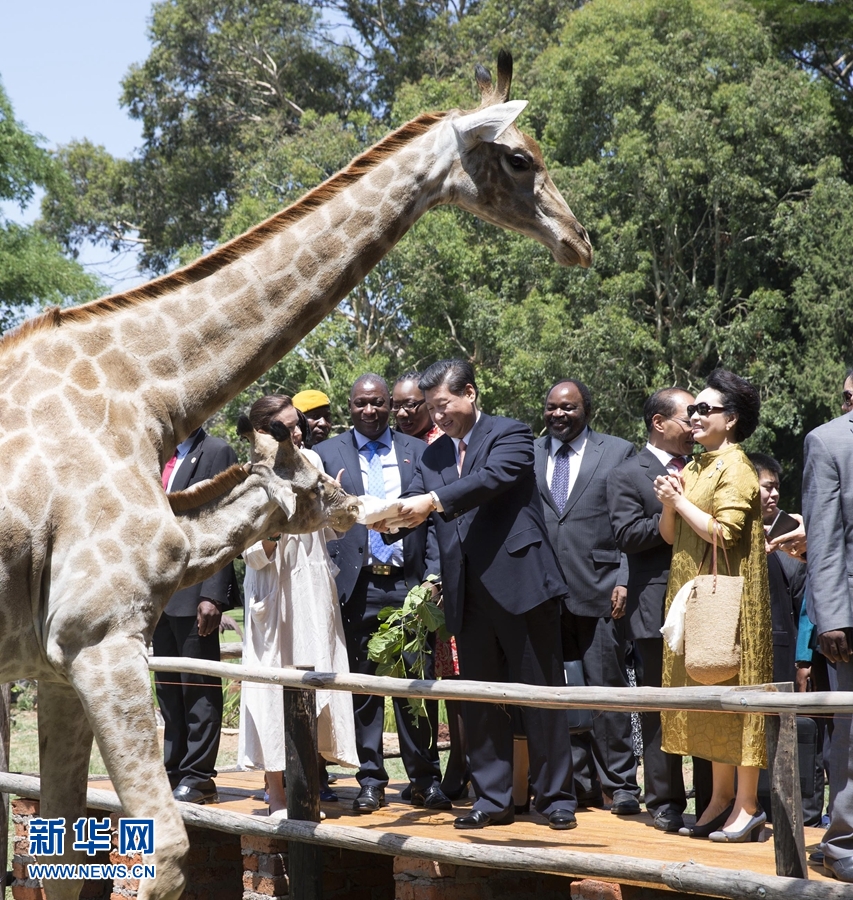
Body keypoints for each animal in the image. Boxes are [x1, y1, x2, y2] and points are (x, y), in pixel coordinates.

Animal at [0, 51, 588, 900]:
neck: (142, 392)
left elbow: (64, 856)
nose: (578, 239)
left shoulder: (55, 663)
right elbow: (159, 850)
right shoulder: (97, 636)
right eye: (518, 157)